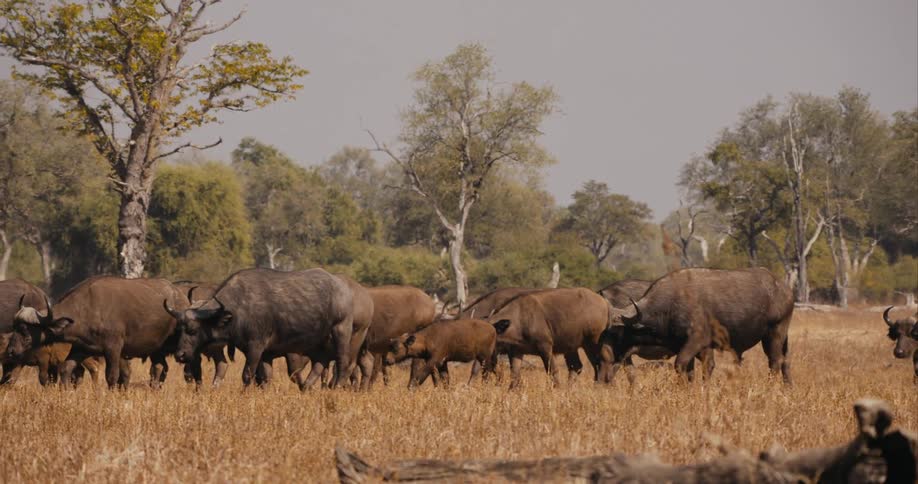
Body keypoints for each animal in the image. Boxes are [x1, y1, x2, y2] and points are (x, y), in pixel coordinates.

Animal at [9, 276, 189, 388]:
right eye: (15, 326)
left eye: (24, 329)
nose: (11, 351)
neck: (88, 309)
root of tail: (180, 296)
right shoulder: (81, 348)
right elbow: (66, 369)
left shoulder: (113, 349)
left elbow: (112, 376)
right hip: (156, 350)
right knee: (159, 368)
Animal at [165, 268, 354, 389]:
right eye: (179, 329)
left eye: (193, 330)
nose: (180, 355)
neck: (239, 307)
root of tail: (342, 287)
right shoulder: (265, 353)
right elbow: (265, 377)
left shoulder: (255, 347)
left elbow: (247, 374)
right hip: (320, 341)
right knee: (320, 362)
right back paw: (307, 387)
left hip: (341, 331)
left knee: (342, 362)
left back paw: (336, 387)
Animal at [607, 268, 794, 384]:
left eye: (618, 332)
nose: (608, 353)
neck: (670, 304)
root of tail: (785, 289)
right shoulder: (696, 346)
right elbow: (698, 369)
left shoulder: (696, 340)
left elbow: (680, 364)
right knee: (785, 361)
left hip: (775, 332)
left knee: (775, 361)